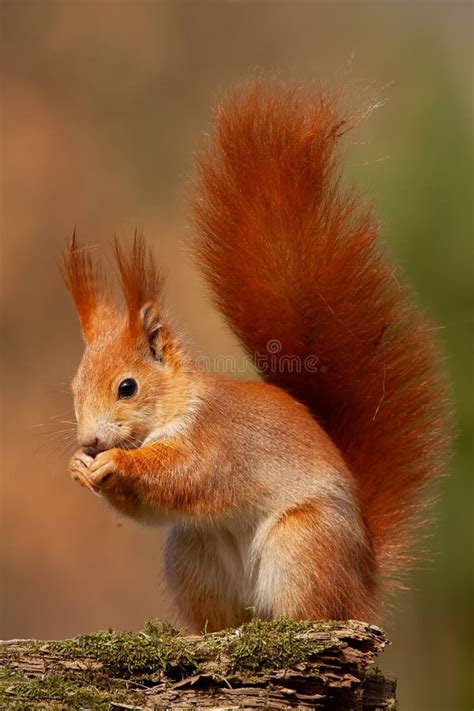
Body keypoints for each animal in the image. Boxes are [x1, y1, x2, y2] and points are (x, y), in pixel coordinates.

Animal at [63, 80, 452, 632]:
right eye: (74, 389)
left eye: (127, 387)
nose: (91, 440)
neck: (177, 406)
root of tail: (363, 580)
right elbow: (150, 508)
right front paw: (80, 465)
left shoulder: (217, 442)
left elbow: (183, 476)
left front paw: (114, 461)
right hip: (193, 553)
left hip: (302, 545)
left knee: (314, 606)